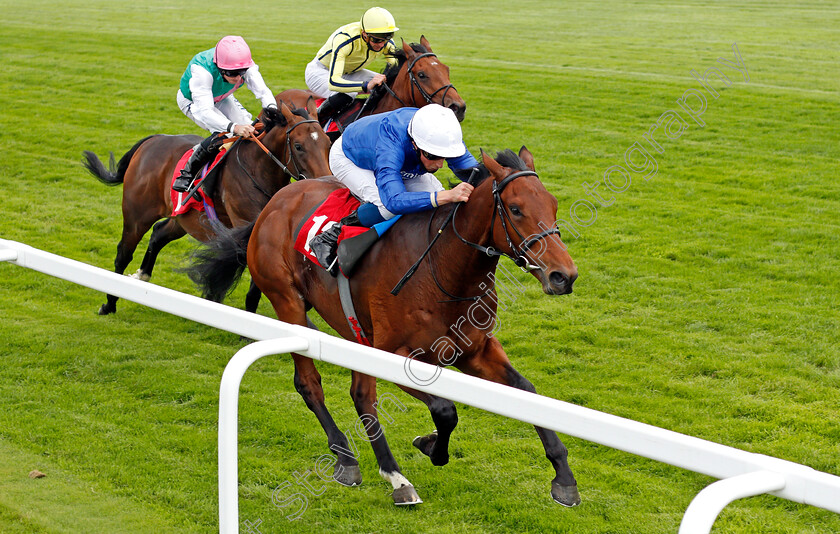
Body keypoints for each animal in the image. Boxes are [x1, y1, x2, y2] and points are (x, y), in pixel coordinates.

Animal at [83, 100, 332, 316]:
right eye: (298, 146)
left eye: (328, 143)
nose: (325, 181)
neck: (257, 169)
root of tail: (154, 140)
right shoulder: (250, 233)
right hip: (137, 214)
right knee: (123, 253)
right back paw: (109, 303)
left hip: (184, 218)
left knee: (158, 233)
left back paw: (142, 275)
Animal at [187, 149, 580, 508]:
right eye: (515, 209)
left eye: (553, 204)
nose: (564, 276)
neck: (444, 269)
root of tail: (274, 203)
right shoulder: (397, 355)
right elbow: (445, 410)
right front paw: (432, 447)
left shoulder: (475, 350)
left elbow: (528, 393)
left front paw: (564, 479)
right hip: (288, 302)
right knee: (313, 385)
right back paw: (366, 465)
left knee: (360, 393)